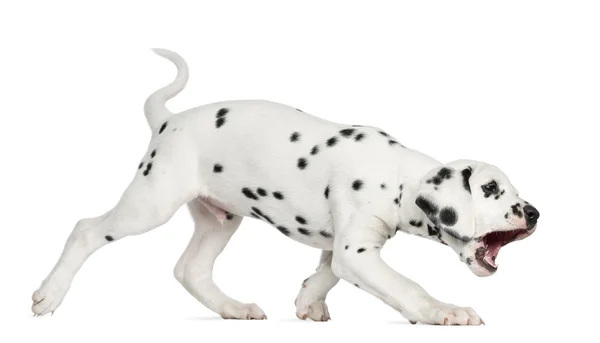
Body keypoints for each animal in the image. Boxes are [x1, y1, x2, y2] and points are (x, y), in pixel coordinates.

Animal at [31, 48, 540, 326]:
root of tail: (168, 120)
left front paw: (308, 299)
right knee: (85, 230)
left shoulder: (344, 245)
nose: (534, 213)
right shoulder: (358, 251)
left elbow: (327, 270)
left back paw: (233, 308)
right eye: (492, 190)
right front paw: (445, 311)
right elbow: (406, 286)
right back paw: (48, 295)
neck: (397, 173)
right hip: (150, 203)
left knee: (189, 270)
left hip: (219, 220)